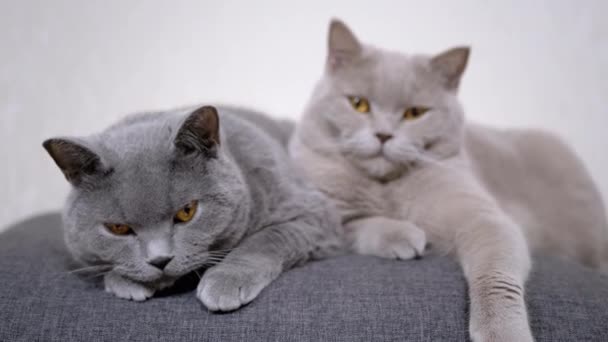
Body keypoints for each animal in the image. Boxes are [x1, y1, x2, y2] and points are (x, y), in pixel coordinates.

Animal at [43, 104, 342, 310]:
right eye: (118, 228)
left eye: (186, 212)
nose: (160, 260)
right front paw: (124, 281)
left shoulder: (315, 214)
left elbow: (265, 240)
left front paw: (224, 282)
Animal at [290, 20, 608, 342]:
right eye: (359, 104)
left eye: (415, 113)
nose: (383, 135)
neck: (387, 186)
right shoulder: (329, 220)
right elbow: (360, 224)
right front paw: (404, 236)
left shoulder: (483, 218)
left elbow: (496, 277)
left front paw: (503, 332)